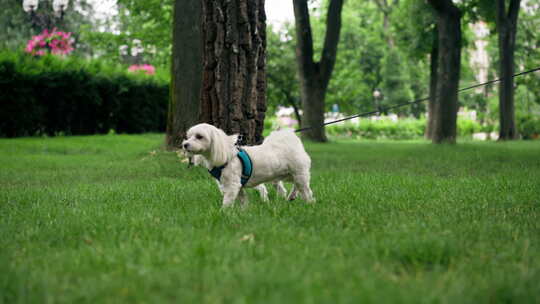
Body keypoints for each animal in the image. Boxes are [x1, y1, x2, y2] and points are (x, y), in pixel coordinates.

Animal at [182, 123, 314, 207]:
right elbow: (242, 200)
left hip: (298, 172)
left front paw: (223, 214)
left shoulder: (233, 184)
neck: (226, 155)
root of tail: (290, 137)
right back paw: (291, 196)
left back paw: (309, 203)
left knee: (305, 189)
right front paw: (243, 212)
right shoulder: (238, 186)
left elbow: (227, 202)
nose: (185, 144)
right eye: (188, 136)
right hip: (284, 175)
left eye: (199, 136)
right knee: (294, 186)